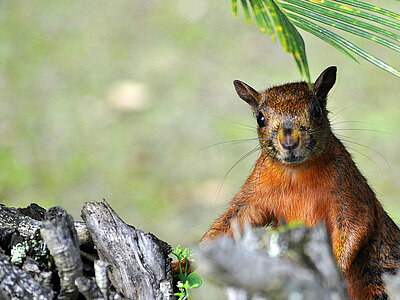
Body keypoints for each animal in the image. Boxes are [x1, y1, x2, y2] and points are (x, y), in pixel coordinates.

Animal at [202, 66, 400, 300]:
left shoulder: (349, 190)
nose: (289, 141)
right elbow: (231, 223)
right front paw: (186, 261)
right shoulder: (254, 196)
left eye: (317, 111)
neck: (296, 173)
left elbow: (354, 226)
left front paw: (333, 271)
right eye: (260, 118)